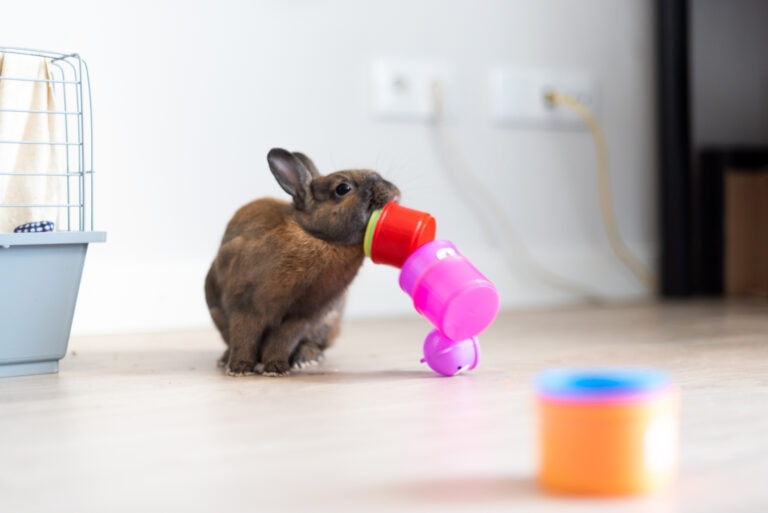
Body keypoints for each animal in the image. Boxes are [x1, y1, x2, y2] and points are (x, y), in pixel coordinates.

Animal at [205, 148, 400, 376]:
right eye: (343, 188)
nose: (393, 191)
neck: (316, 236)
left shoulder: (301, 317)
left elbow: (281, 342)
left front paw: (276, 369)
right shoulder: (244, 307)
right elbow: (244, 338)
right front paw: (239, 368)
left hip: (328, 323)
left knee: (314, 343)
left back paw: (306, 358)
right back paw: (225, 359)